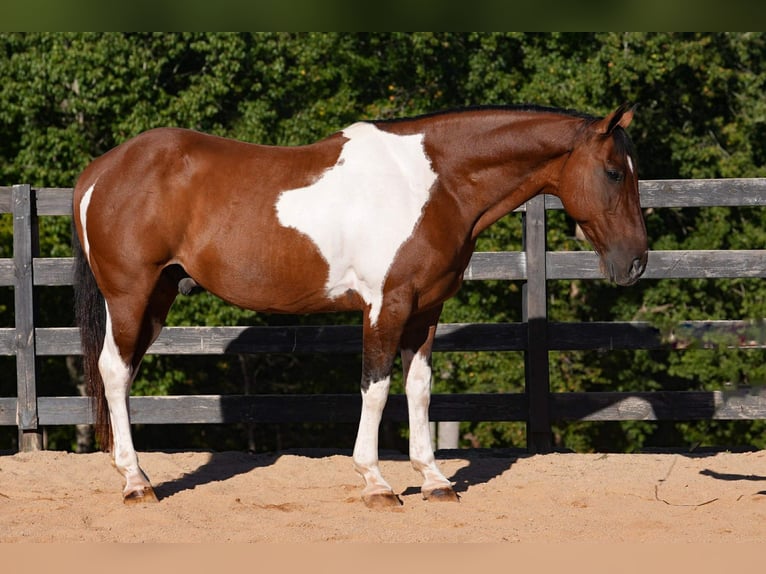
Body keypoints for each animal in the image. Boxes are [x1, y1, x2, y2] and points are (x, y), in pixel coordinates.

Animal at [72, 103, 648, 508]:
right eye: (614, 172)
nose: (637, 262)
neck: (432, 184)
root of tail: (100, 170)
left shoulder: (425, 310)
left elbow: (418, 389)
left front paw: (434, 480)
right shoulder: (385, 306)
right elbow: (376, 388)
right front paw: (376, 483)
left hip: (159, 295)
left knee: (123, 372)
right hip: (131, 295)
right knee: (114, 372)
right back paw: (135, 482)